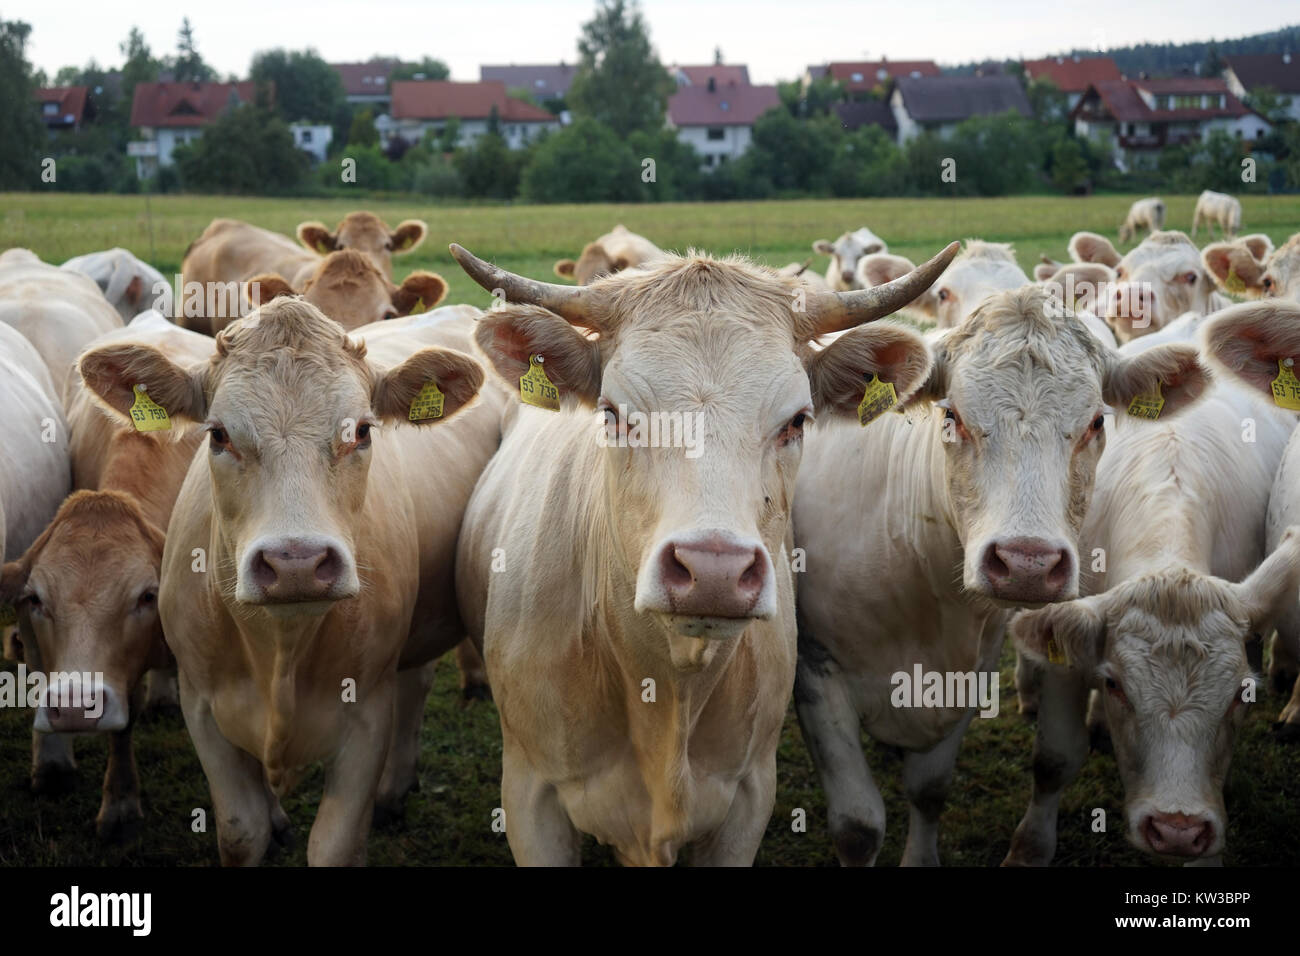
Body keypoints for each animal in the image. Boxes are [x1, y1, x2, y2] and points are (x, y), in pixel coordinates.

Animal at [74, 298, 500, 866]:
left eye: (362, 432)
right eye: (218, 434)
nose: (296, 563)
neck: (279, 650)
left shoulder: (368, 715)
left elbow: (334, 844)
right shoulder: (201, 707)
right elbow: (242, 831)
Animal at [452, 239, 958, 866]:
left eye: (797, 420)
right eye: (612, 413)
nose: (713, 571)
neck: (668, 686)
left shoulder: (747, 799)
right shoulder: (530, 798)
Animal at [792, 285, 1211, 866]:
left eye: (1097, 422)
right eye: (952, 416)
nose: (1027, 563)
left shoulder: (970, 671)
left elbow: (930, 788)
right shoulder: (815, 670)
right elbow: (858, 825)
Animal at [1005, 301, 1300, 865]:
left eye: (1241, 695)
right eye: (1117, 685)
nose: (1176, 828)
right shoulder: (1067, 651)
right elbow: (1053, 760)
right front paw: (1028, 847)